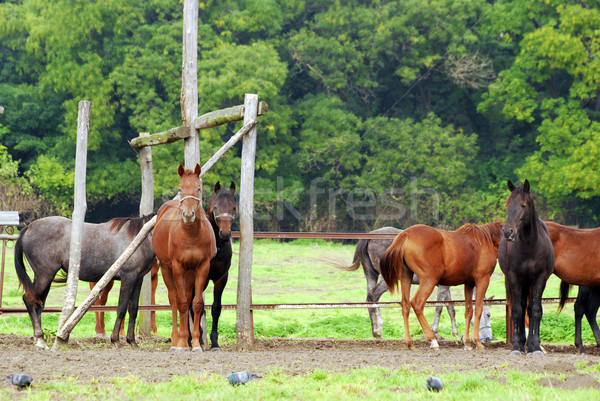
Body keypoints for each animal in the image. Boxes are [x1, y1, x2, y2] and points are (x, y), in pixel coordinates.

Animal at [14, 214, 156, 348]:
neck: (140, 239)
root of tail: (29, 227)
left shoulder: (137, 279)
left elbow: (133, 309)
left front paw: (132, 342)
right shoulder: (128, 278)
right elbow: (121, 308)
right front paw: (115, 340)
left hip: (45, 278)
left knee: (38, 304)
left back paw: (40, 340)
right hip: (44, 275)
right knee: (29, 300)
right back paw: (39, 338)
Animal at [151, 163, 217, 350]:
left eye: (199, 188)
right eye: (180, 188)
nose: (188, 215)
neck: (191, 235)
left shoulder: (202, 267)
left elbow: (195, 303)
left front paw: (195, 343)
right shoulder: (178, 267)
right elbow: (180, 303)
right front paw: (181, 343)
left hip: (190, 272)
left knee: (187, 299)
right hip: (166, 269)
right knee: (174, 300)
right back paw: (175, 340)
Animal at [380, 222, 502, 350]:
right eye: (489, 315)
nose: (488, 338)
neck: (486, 241)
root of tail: (405, 235)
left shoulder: (469, 283)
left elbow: (469, 311)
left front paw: (467, 343)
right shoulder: (482, 280)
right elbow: (478, 309)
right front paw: (477, 342)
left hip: (406, 277)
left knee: (405, 305)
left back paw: (409, 343)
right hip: (429, 280)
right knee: (417, 303)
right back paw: (433, 340)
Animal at [496, 180, 552, 354]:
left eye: (523, 205)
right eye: (508, 205)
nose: (507, 231)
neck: (529, 245)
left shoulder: (540, 279)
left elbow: (536, 310)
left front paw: (535, 346)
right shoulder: (515, 278)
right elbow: (516, 311)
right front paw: (516, 345)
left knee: (529, 309)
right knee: (520, 309)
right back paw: (521, 343)